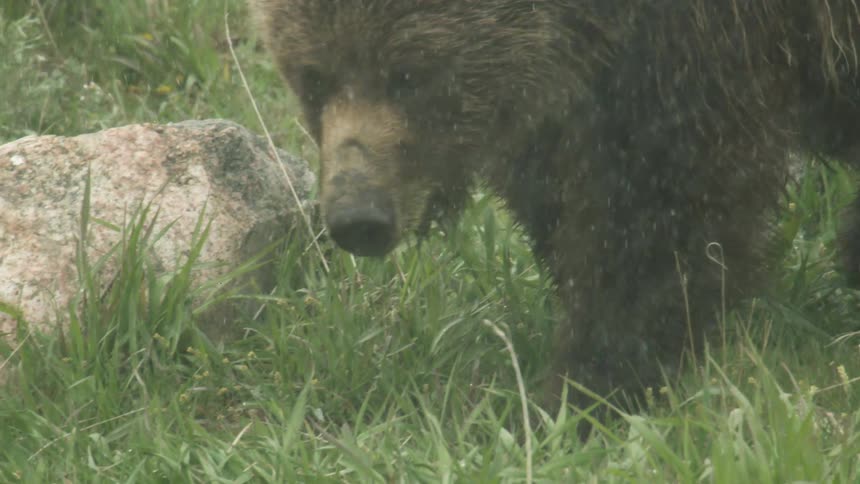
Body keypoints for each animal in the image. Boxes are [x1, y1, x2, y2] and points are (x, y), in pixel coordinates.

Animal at [249, 0, 860, 414]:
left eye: (408, 74)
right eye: (314, 76)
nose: (358, 217)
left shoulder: (703, 49)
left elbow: (661, 207)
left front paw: (589, 387)